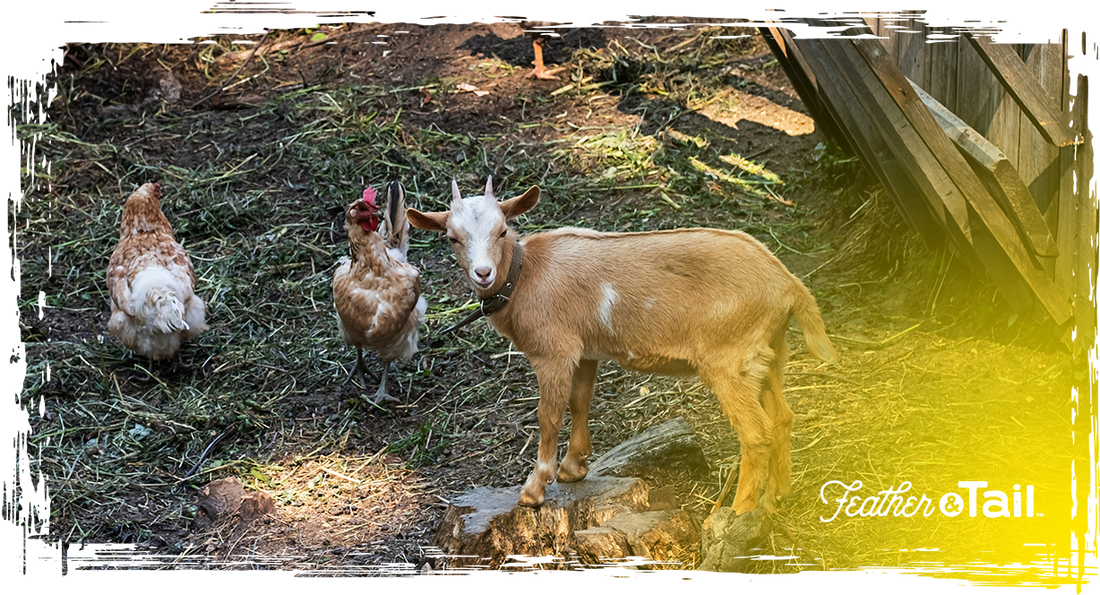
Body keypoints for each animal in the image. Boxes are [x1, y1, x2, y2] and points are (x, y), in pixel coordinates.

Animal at [407, 178, 837, 514]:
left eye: (501, 231)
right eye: (452, 237)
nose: (483, 273)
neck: (525, 275)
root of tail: (787, 283)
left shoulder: (553, 352)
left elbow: (548, 415)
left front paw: (534, 489)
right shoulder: (584, 351)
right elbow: (580, 402)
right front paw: (574, 468)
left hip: (729, 359)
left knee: (757, 433)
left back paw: (737, 511)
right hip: (769, 352)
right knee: (782, 417)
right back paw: (776, 496)